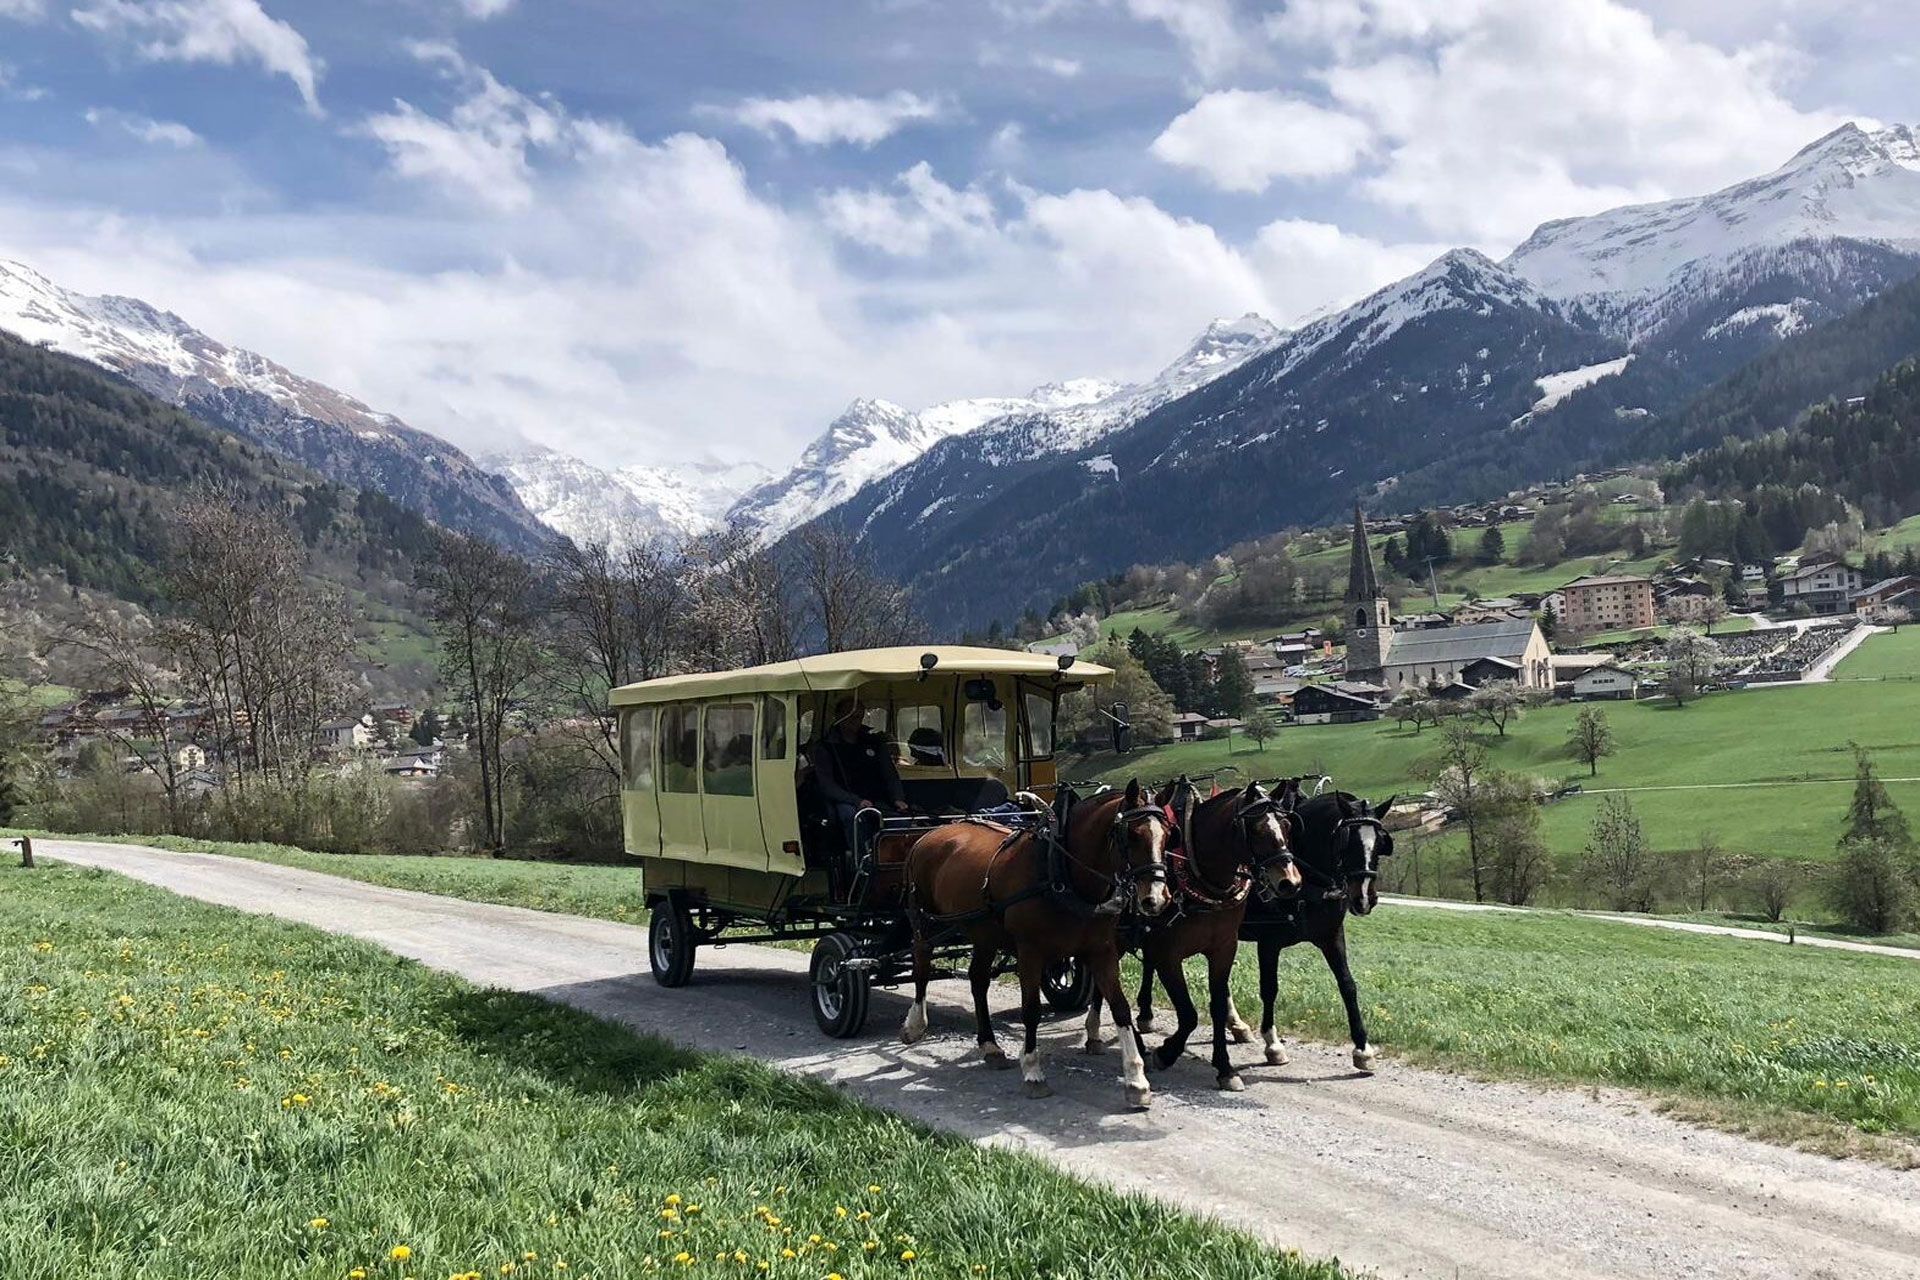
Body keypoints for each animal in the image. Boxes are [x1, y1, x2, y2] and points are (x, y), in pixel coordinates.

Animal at [898, 782, 1167, 1113]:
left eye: (1168, 834)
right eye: (1132, 835)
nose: (1155, 899)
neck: (1060, 872)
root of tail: (927, 835)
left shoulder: (1101, 950)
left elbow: (1120, 1008)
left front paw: (1136, 1080)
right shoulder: (1030, 952)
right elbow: (1031, 1010)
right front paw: (1033, 1071)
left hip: (983, 932)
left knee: (978, 980)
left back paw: (990, 1045)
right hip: (924, 921)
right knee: (921, 965)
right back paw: (915, 1024)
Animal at [1121, 782, 1305, 1090]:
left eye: (1287, 825)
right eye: (1256, 829)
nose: (1290, 881)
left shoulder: (1223, 948)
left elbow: (1217, 1005)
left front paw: (1225, 1067)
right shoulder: (1167, 955)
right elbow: (1188, 1015)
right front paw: (1166, 1053)